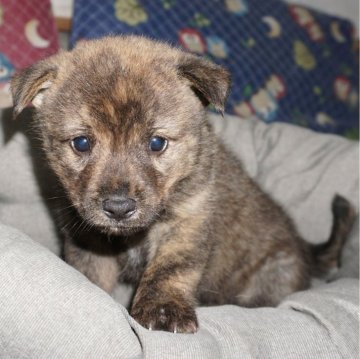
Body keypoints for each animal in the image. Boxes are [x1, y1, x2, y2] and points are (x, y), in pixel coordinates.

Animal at [10, 36, 354, 334]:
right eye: (81, 143)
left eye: (157, 143)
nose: (118, 208)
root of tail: (304, 247)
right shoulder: (88, 238)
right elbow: (91, 276)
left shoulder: (187, 222)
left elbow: (170, 269)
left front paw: (163, 312)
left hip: (273, 272)